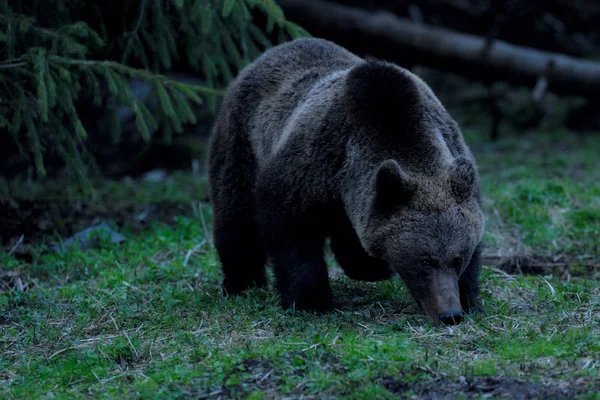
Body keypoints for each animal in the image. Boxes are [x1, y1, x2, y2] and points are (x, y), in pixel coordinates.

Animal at [209, 36, 486, 324]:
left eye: (457, 258)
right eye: (424, 260)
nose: (450, 313)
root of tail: (266, 55)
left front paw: (470, 299)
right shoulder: (309, 168)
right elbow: (291, 231)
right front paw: (311, 301)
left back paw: (370, 267)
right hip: (241, 144)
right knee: (235, 216)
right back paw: (241, 282)